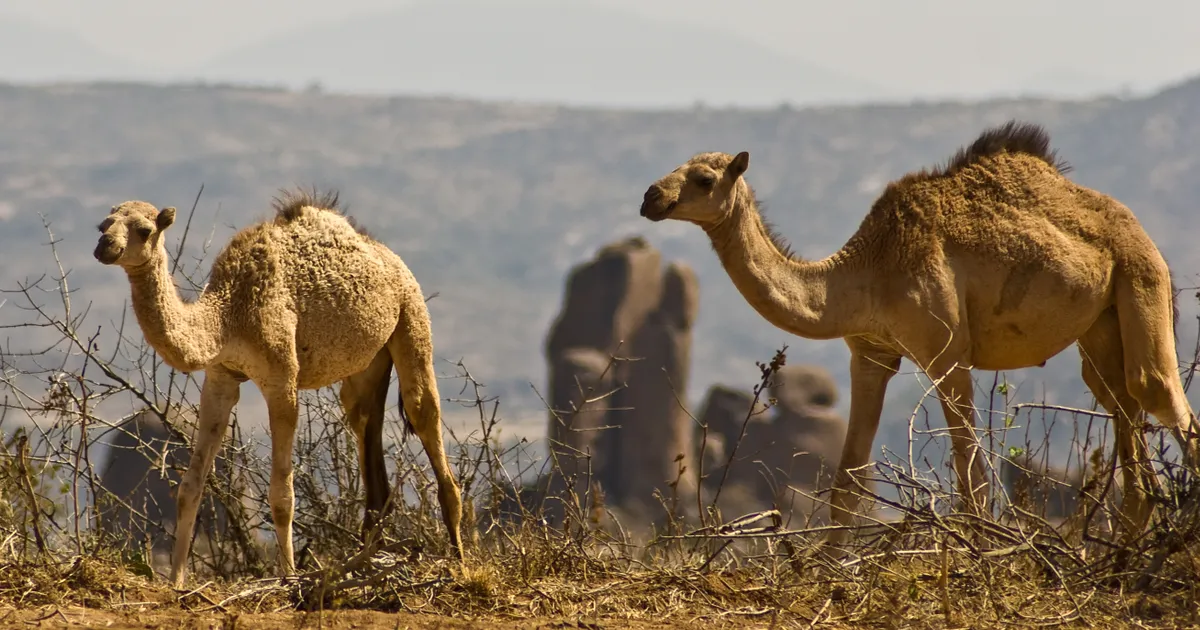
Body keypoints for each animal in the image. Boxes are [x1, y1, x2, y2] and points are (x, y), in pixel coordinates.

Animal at [88, 187, 460, 585]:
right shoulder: (221, 377)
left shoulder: (282, 378)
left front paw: (289, 576)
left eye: (144, 230)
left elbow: (282, 495)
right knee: (364, 419)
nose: (105, 246)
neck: (227, 315)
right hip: (369, 362)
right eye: (103, 224)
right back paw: (367, 559)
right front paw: (176, 581)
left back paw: (459, 563)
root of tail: (389, 257)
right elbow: (190, 487)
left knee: (423, 412)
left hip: (411, 316)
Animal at [633, 121, 1195, 549]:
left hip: (1140, 278)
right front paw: (827, 573)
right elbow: (847, 482)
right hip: (1101, 327)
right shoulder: (871, 354)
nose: (650, 196)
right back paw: (1120, 559)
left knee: (1159, 395)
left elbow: (972, 478)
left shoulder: (947, 352)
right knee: (1125, 419)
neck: (866, 269)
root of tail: (1144, 236)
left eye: (703, 178)